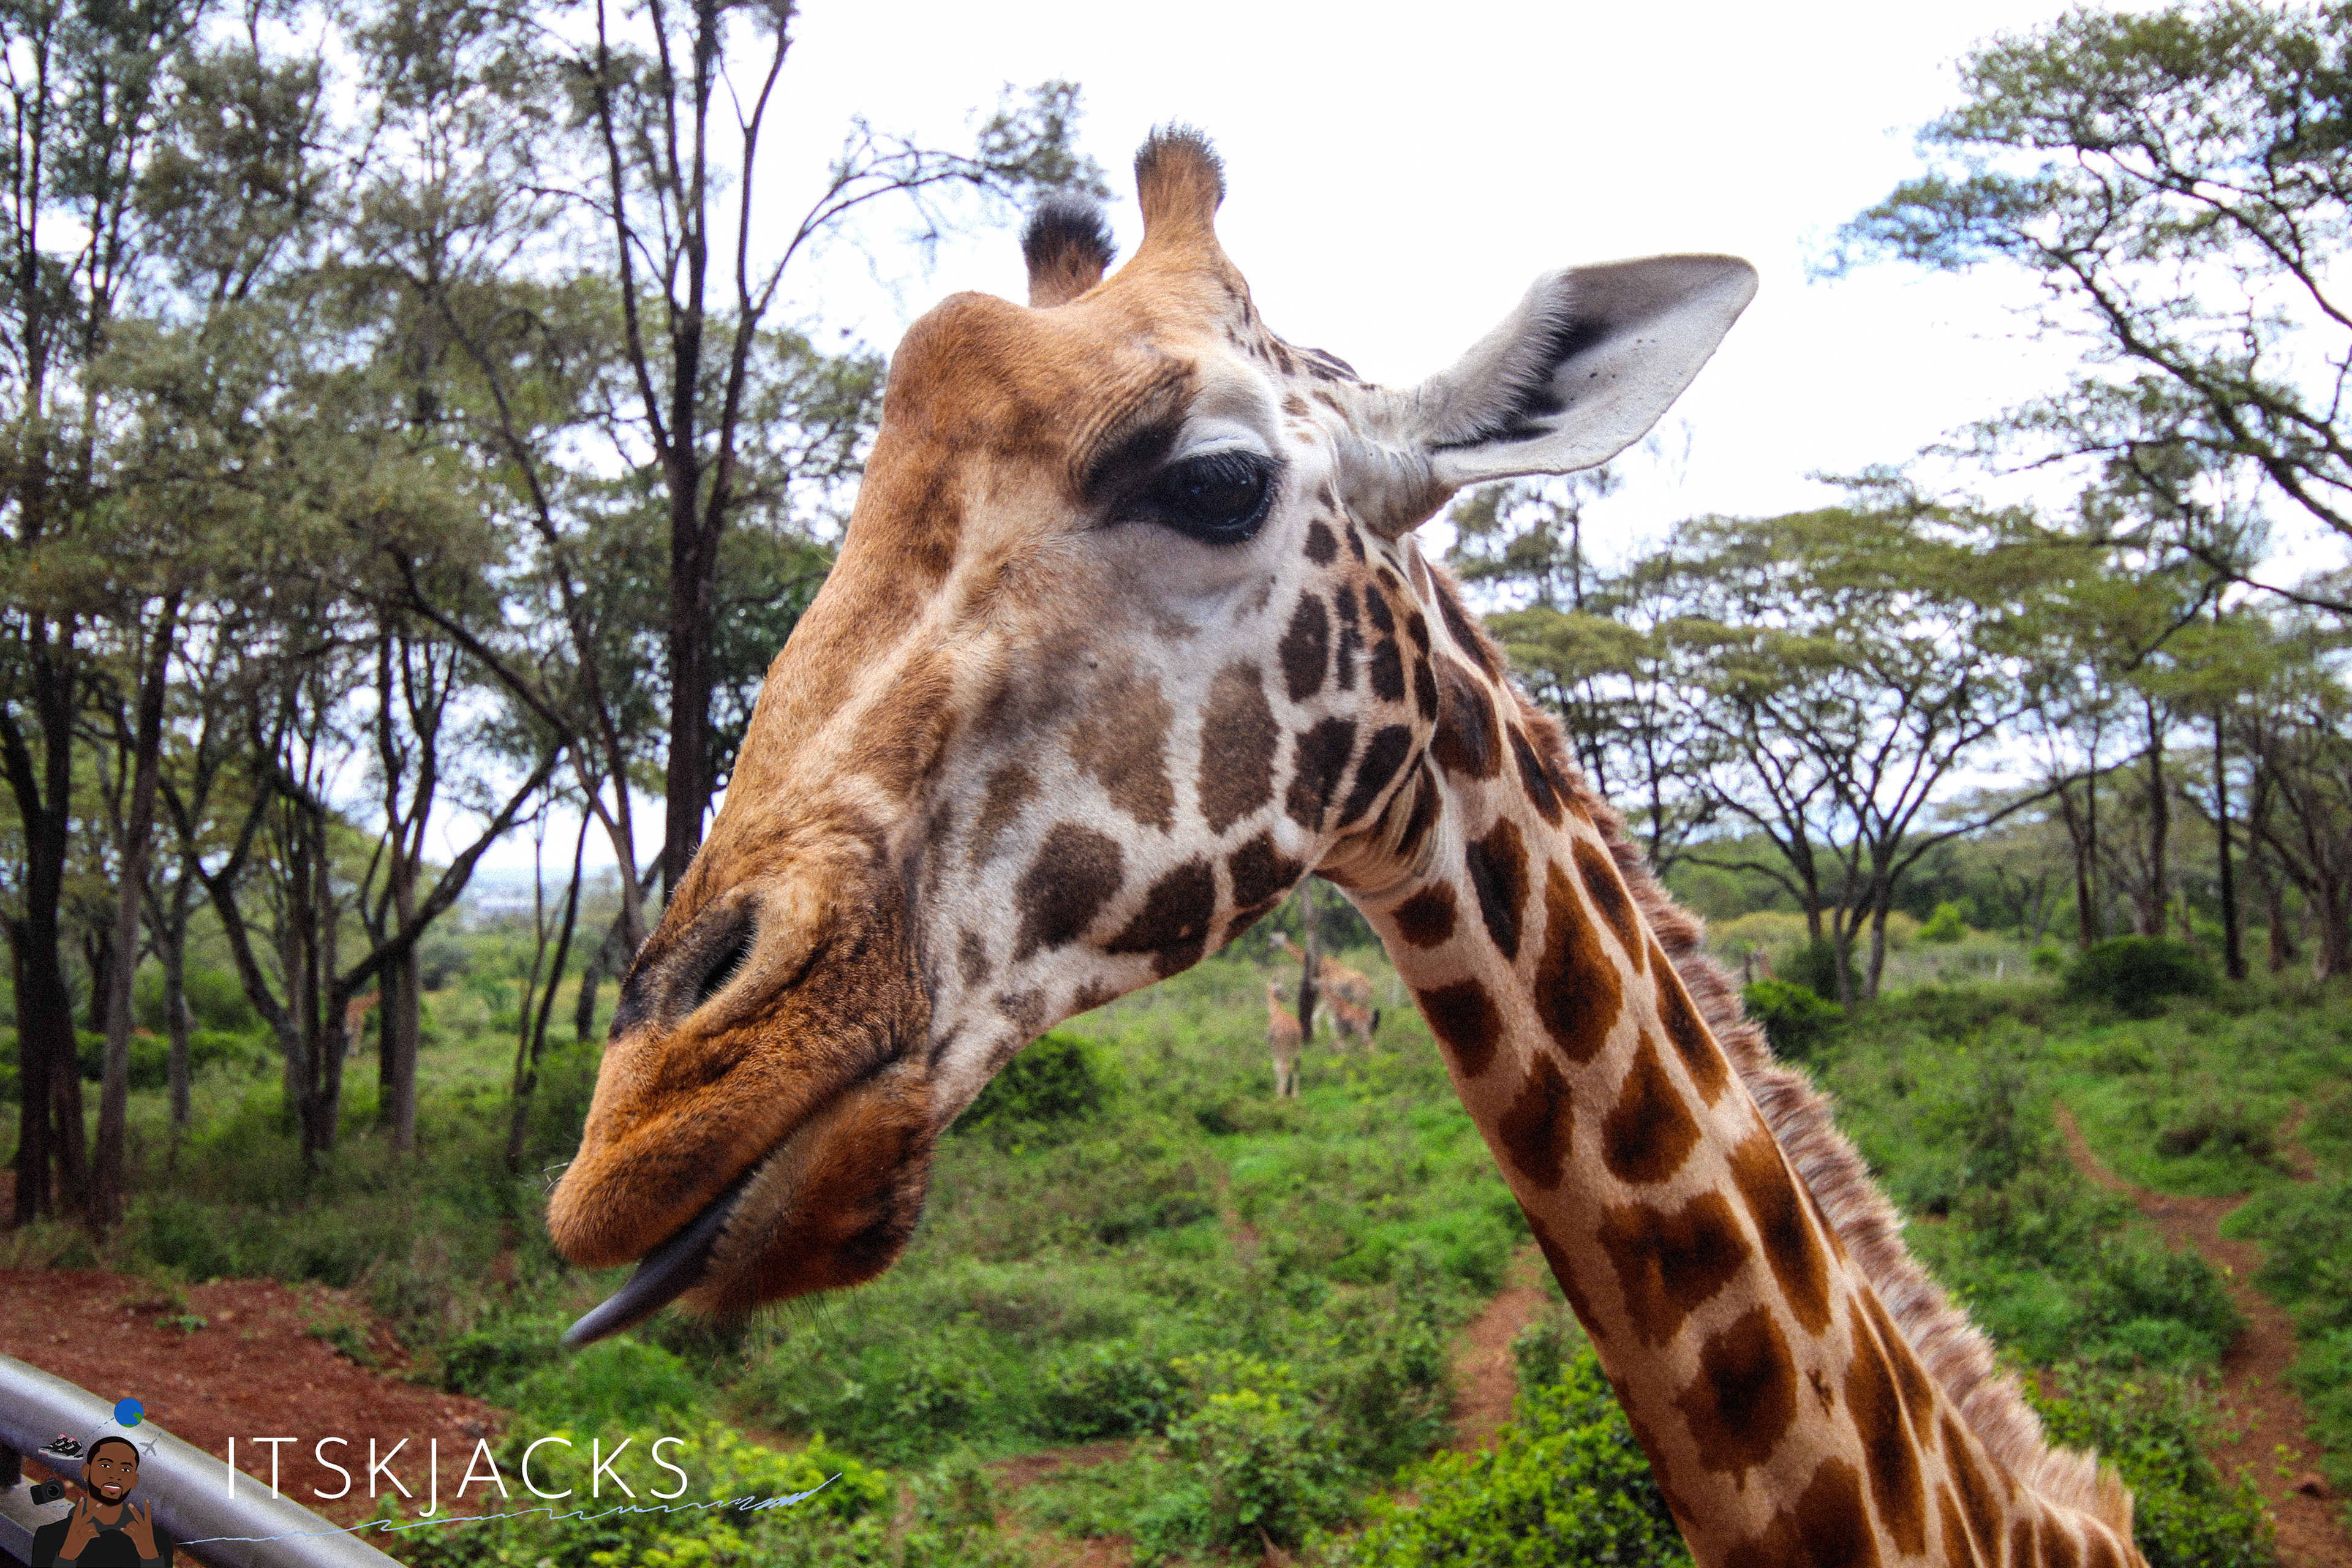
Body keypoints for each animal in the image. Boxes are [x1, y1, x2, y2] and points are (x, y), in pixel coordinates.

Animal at [1264, 979, 1303, 1097]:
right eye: (1280, 989)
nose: (1287, 997)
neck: (1275, 1012)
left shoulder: (1274, 1049)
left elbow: (1276, 1067)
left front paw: (1278, 1092)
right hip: (1296, 1048)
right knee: (1296, 1065)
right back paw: (1295, 1094)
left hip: (1284, 1049)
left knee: (1286, 1067)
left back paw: (1282, 1095)